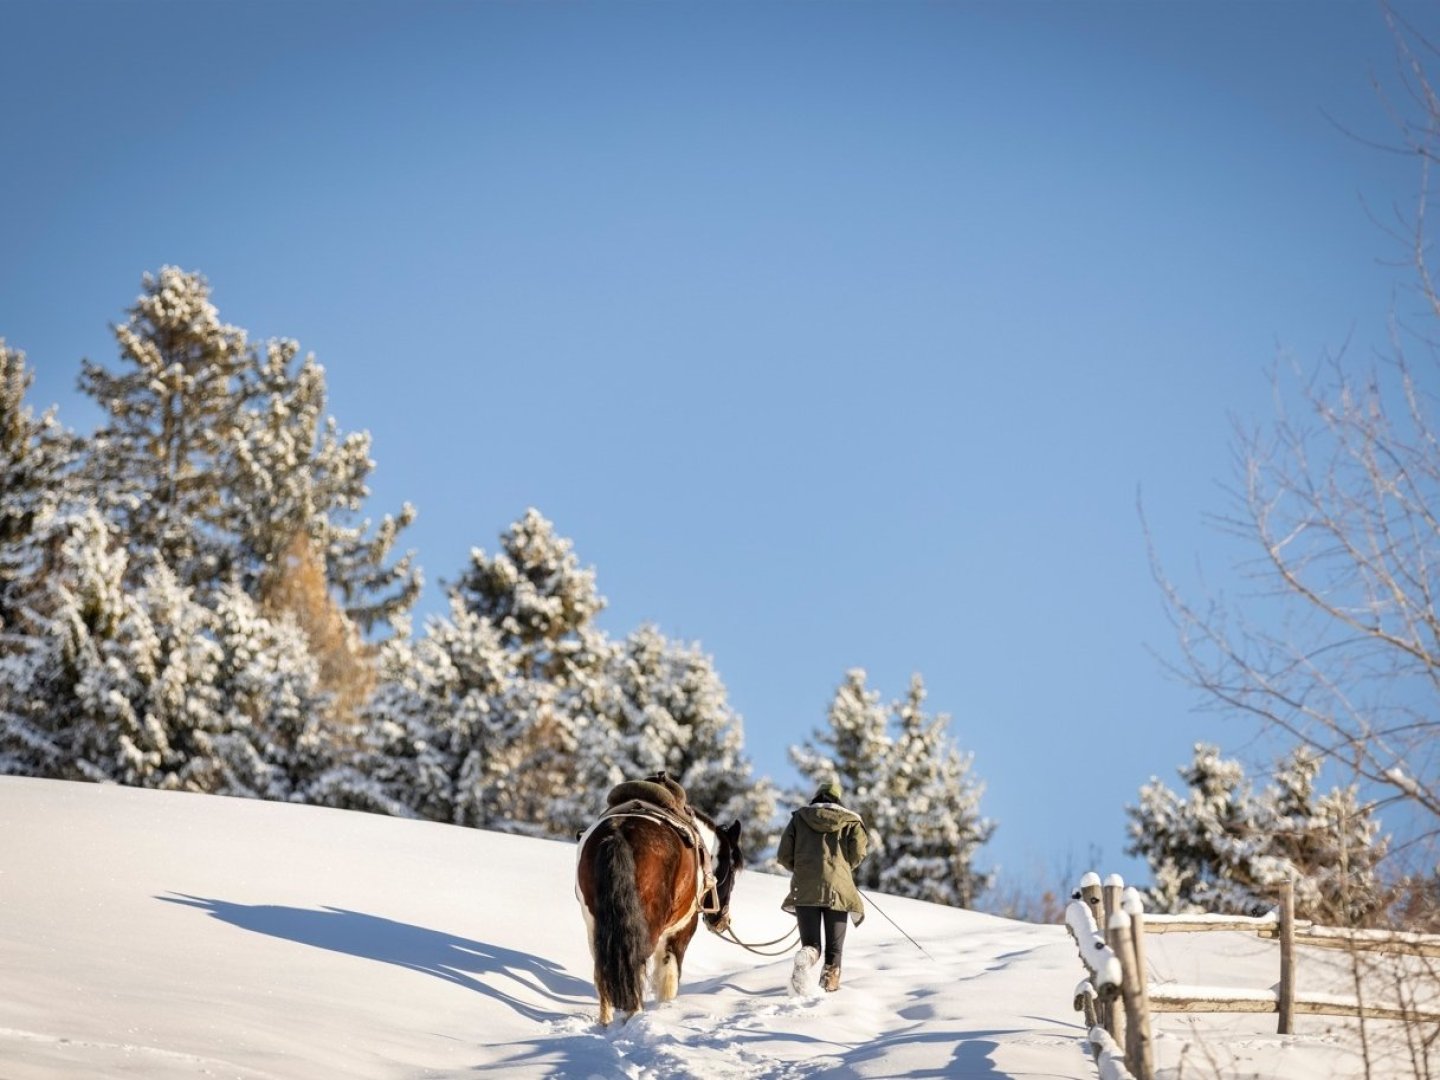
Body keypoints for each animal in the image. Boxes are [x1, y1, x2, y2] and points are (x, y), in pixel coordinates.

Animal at [573, 806, 743, 1025]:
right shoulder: (682, 929)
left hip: (596, 926)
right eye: (732, 870)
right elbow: (669, 973)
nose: (723, 921)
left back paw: (606, 1022)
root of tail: (617, 833)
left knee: (603, 970)